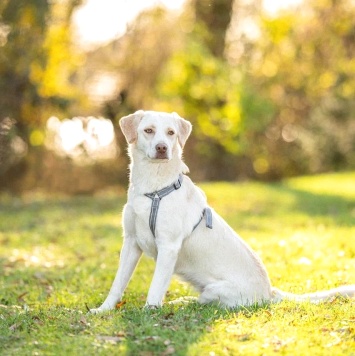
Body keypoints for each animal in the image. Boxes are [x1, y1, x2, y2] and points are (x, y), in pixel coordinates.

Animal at [91, 110, 355, 312]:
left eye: (171, 133)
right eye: (148, 130)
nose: (162, 148)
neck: (153, 189)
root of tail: (269, 292)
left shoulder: (168, 247)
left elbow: (156, 286)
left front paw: (150, 312)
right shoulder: (131, 243)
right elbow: (118, 283)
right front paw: (104, 309)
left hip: (216, 289)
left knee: (205, 303)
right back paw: (178, 301)